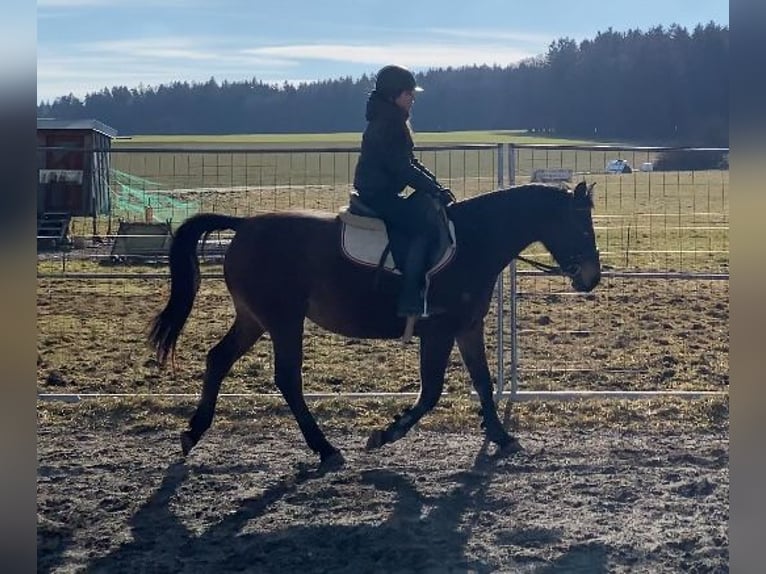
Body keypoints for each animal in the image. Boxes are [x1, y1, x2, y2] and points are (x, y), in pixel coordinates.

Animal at [147, 182, 604, 466]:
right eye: (582, 226)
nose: (591, 278)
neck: (475, 240)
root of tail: (245, 226)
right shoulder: (439, 332)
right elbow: (431, 392)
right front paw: (387, 433)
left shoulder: (467, 328)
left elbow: (483, 381)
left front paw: (502, 436)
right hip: (283, 320)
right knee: (287, 378)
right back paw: (325, 448)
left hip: (254, 319)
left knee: (218, 359)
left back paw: (194, 432)